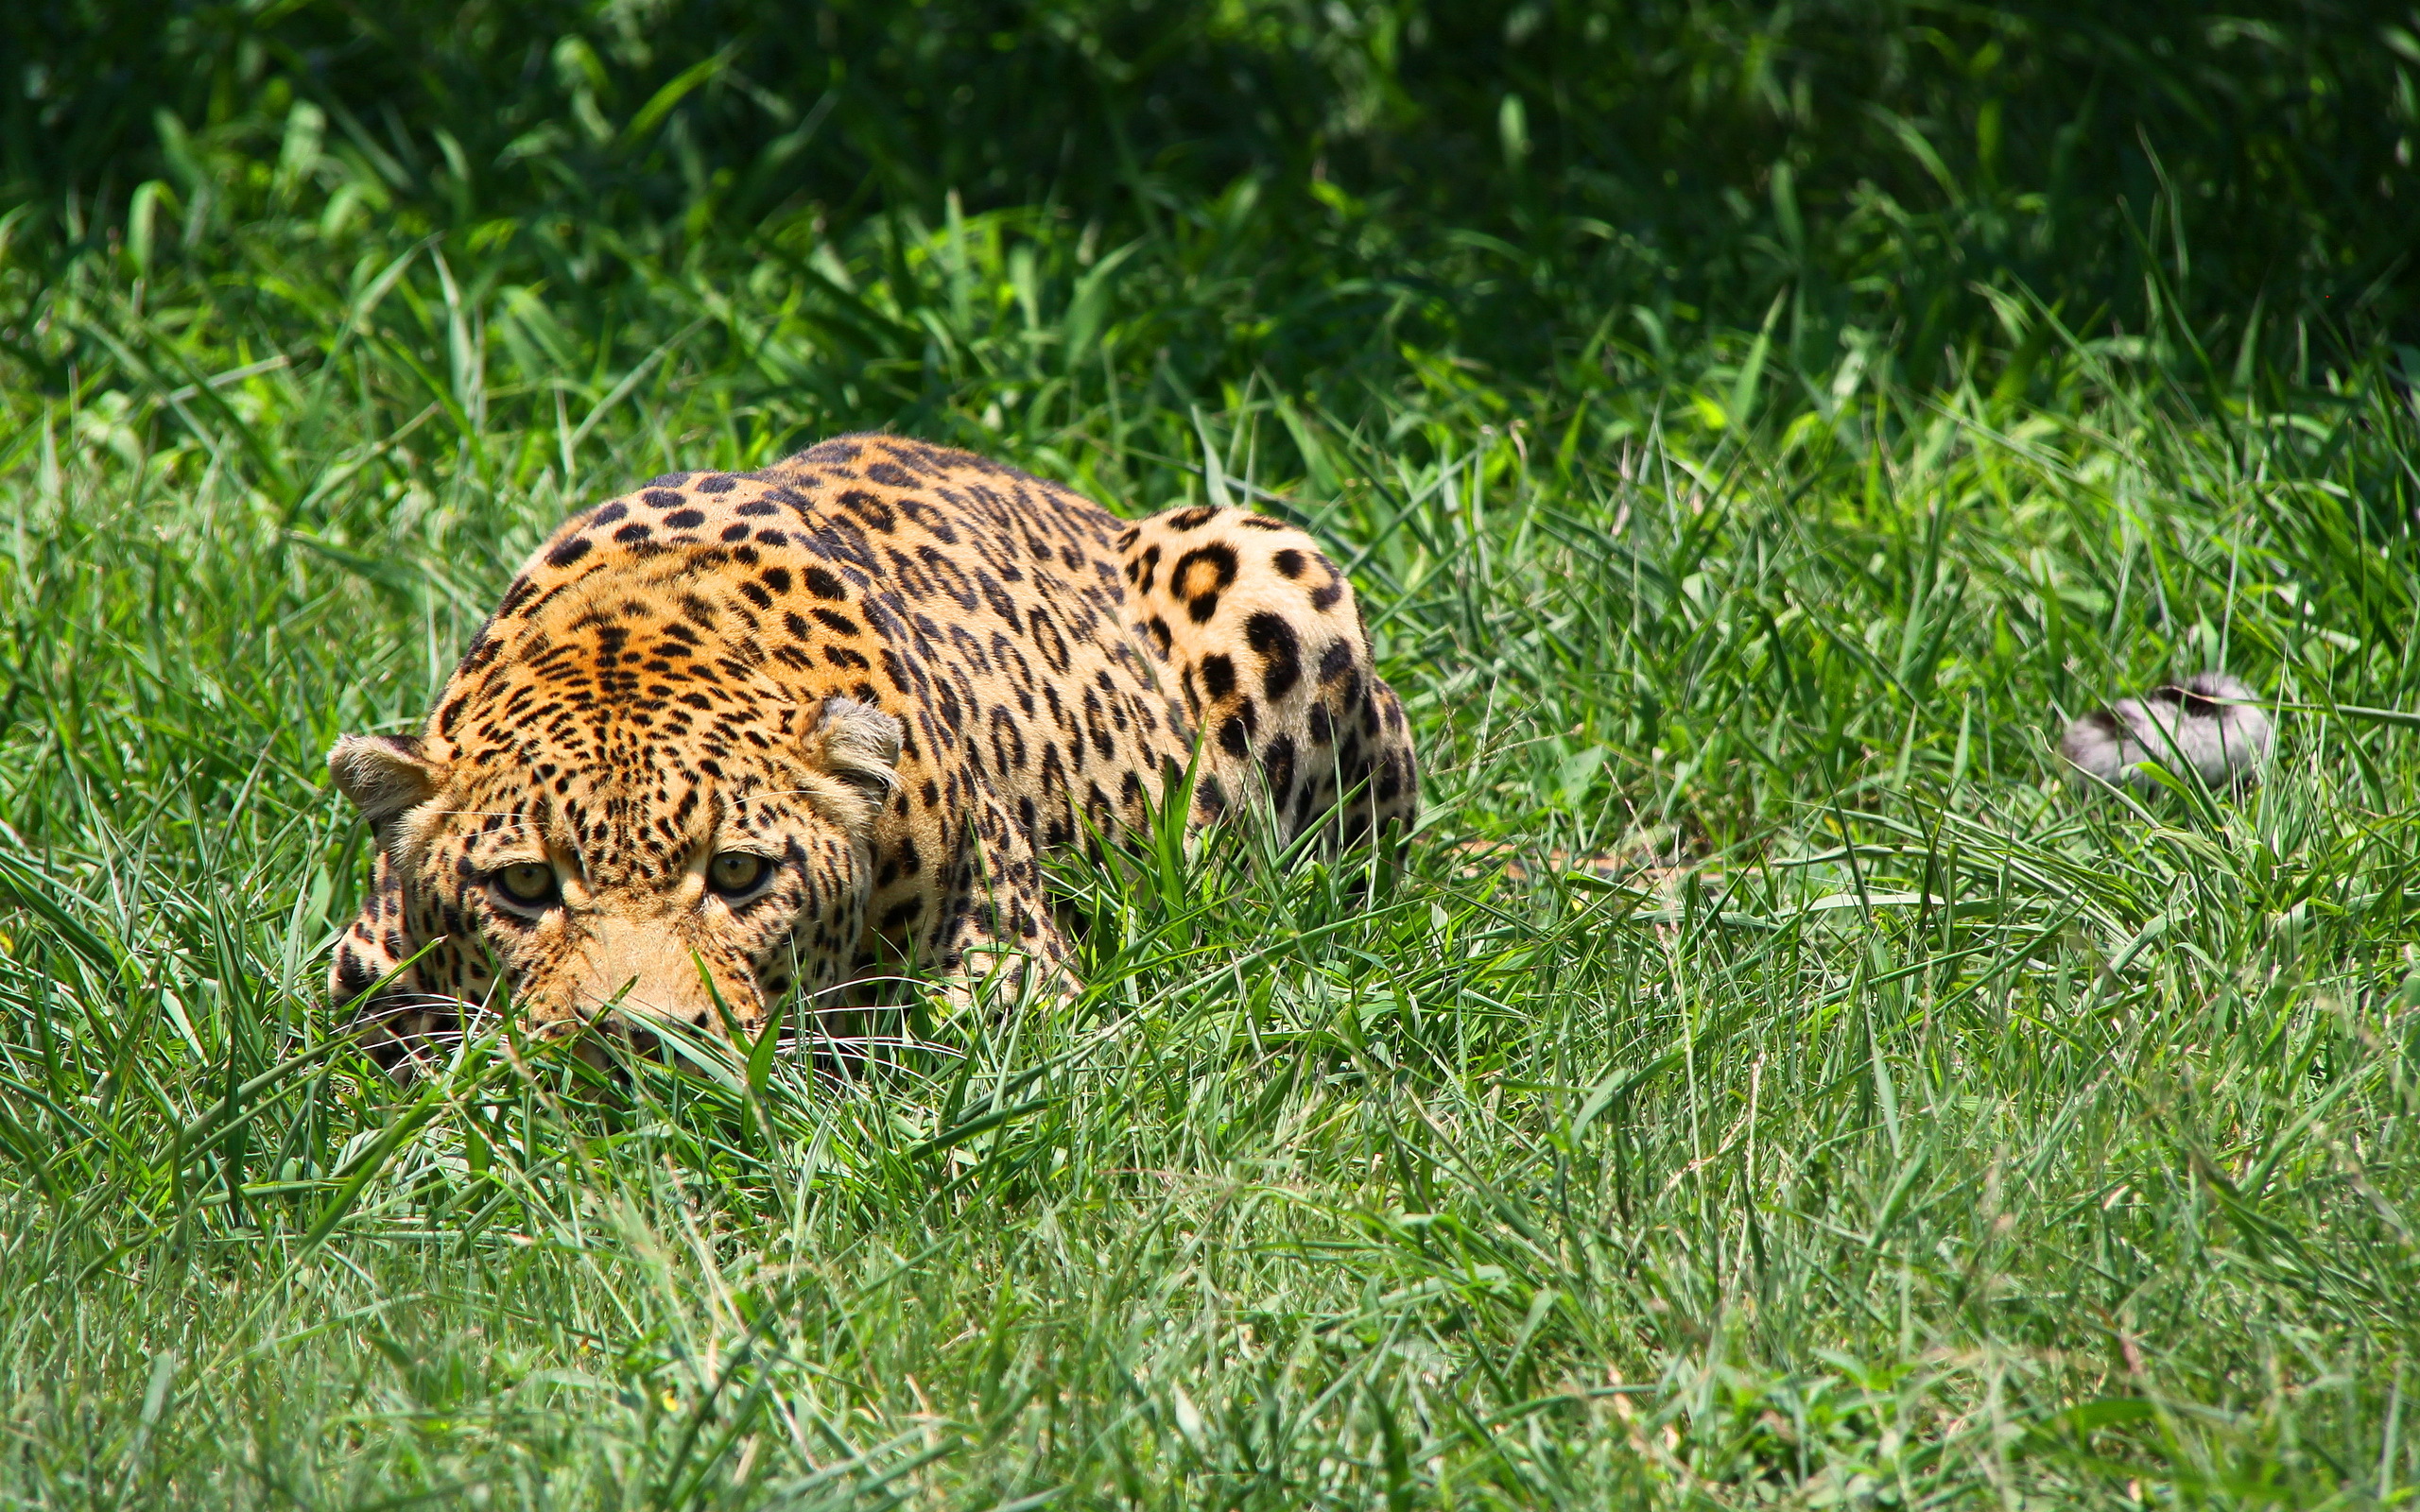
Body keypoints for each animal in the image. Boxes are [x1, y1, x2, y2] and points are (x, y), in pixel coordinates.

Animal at [326, 428, 1413, 1074]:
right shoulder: (360, 972)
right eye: (523, 887)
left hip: (1268, 563)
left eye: (739, 874)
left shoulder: (1012, 977)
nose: (635, 1047)